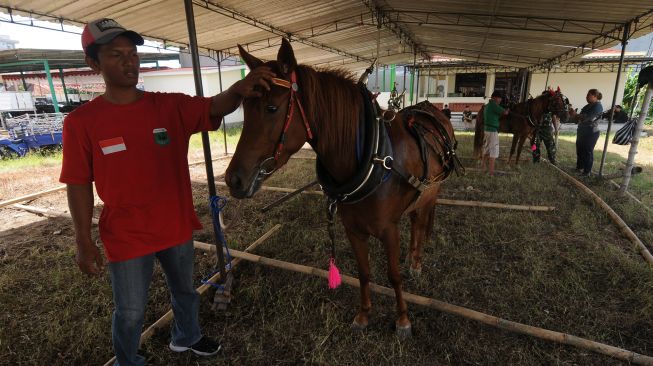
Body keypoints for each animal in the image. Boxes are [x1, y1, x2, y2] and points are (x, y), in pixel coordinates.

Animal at [227, 38, 460, 338]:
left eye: (271, 108)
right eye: (244, 108)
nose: (233, 179)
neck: (373, 157)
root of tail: (433, 112)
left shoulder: (389, 230)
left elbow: (393, 275)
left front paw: (403, 319)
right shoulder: (353, 230)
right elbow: (364, 272)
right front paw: (364, 314)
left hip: (432, 193)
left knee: (421, 222)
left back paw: (417, 261)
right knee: (416, 220)